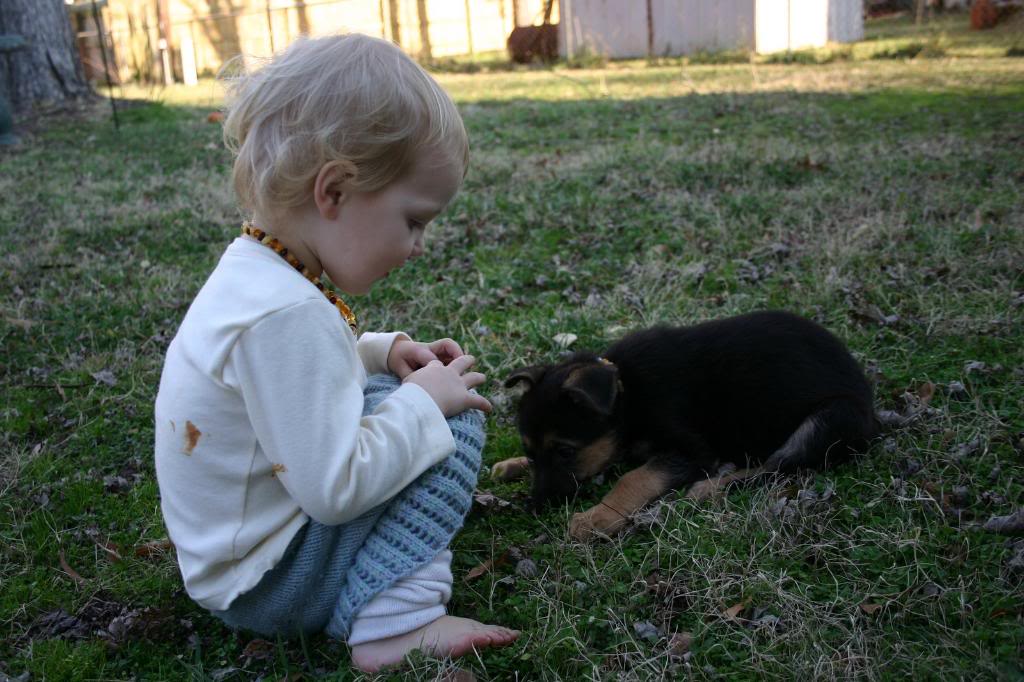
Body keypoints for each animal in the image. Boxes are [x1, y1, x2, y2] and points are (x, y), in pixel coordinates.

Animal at [491, 307, 876, 536]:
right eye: (531, 452)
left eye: (566, 452)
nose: (534, 507)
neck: (626, 393)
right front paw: (511, 465)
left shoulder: (691, 450)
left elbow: (634, 478)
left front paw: (596, 517)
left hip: (831, 418)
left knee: (778, 466)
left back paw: (709, 487)